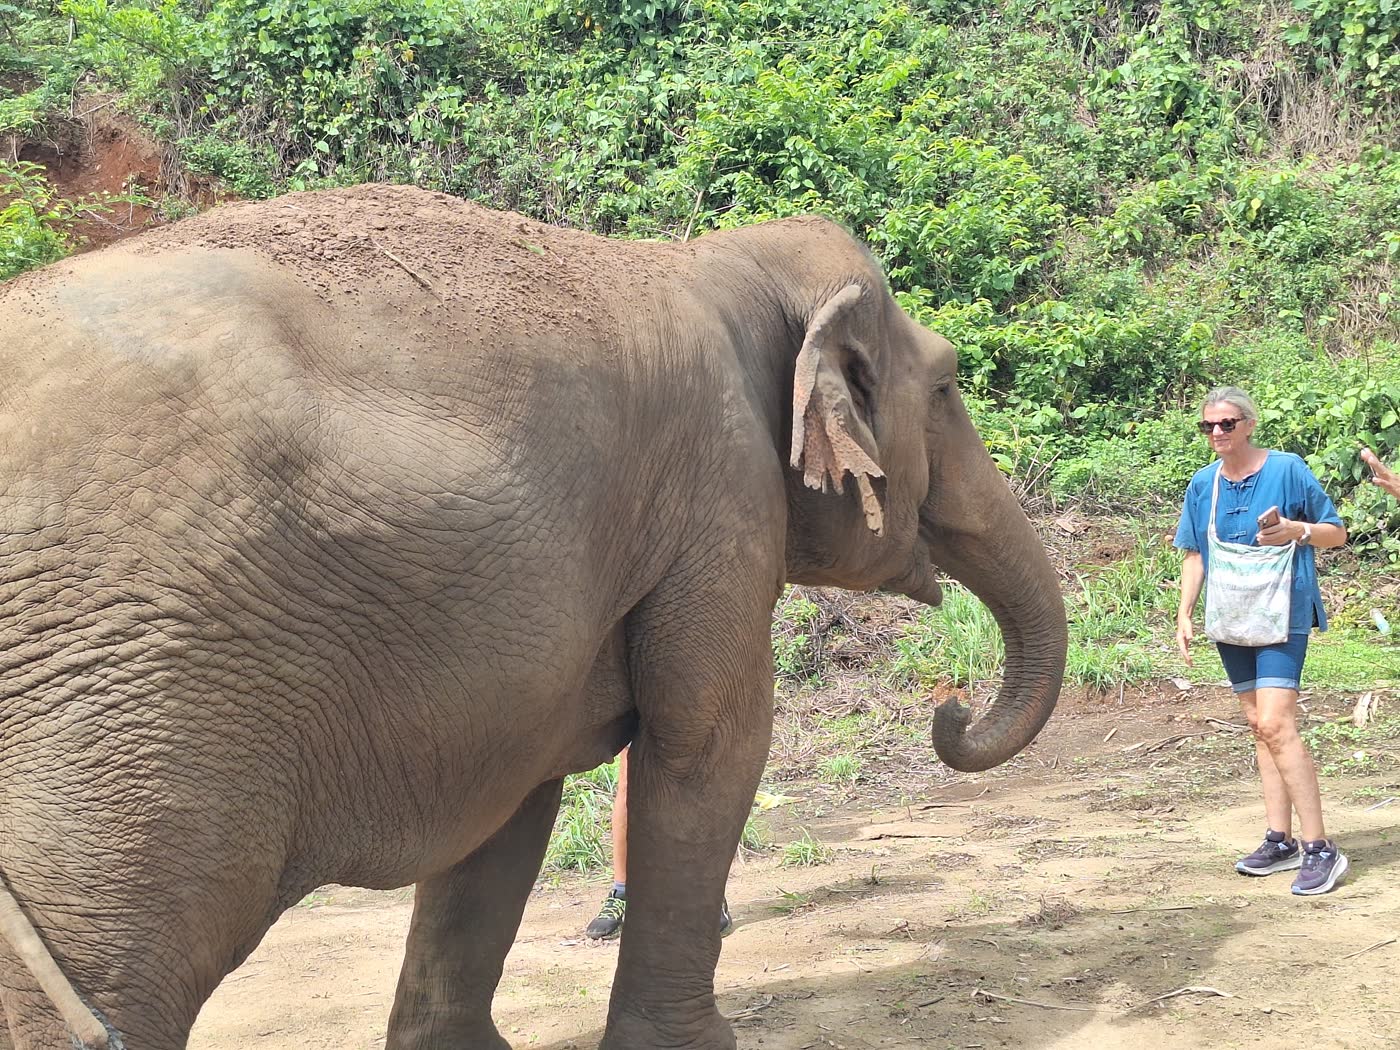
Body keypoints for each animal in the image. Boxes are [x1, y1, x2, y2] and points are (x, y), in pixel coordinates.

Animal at [0, 184, 1067, 1049]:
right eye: (948, 384)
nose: (948, 712)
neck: (720, 260)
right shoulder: (718, 501)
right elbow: (710, 742)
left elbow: (514, 804)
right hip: (125, 723)